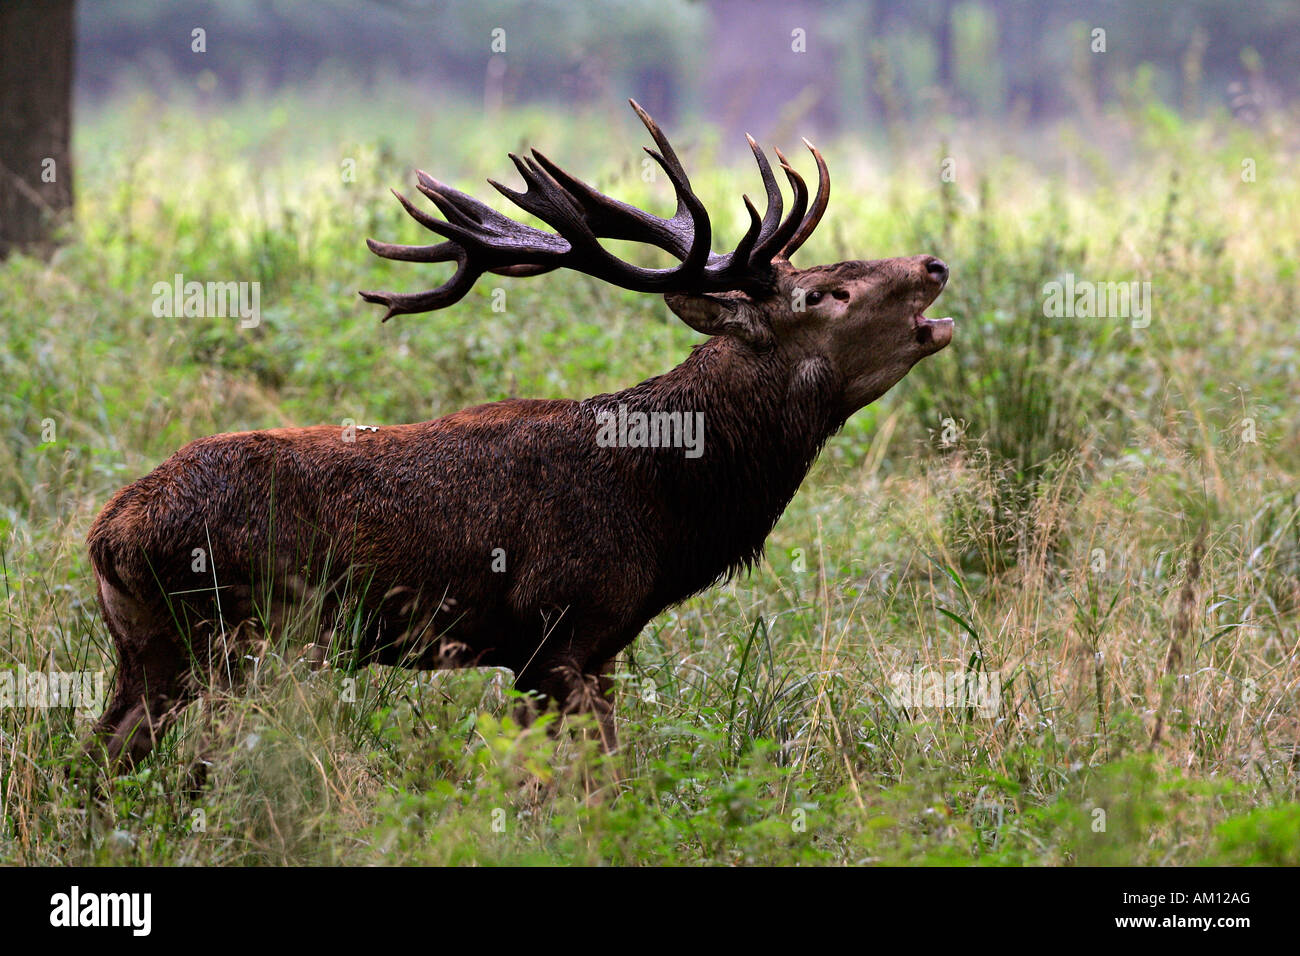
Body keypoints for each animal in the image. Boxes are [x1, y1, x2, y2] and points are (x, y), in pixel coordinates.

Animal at [83, 98, 956, 780]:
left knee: (101, 761)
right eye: (825, 292)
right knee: (204, 766)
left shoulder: (597, 647)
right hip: (247, 639)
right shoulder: (560, 629)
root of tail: (108, 535)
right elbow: (586, 782)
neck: (667, 510)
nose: (935, 264)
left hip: (150, 649)